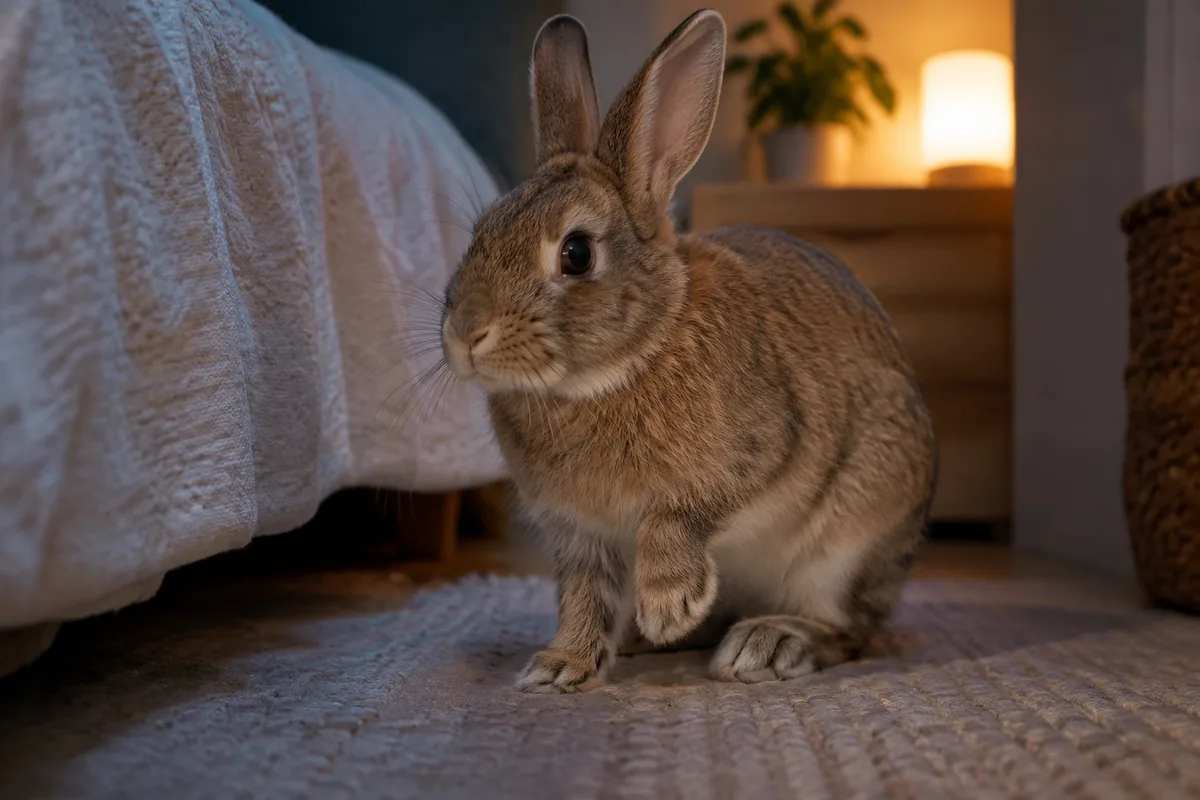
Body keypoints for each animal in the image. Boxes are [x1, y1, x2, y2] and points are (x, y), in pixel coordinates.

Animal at [439, 8, 937, 693]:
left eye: (576, 253)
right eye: (481, 231)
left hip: (847, 544)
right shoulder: (580, 535)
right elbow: (583, 596)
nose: (465, 333)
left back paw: (764, 643)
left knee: (847, 629)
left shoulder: (758, 449)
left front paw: (668, 603)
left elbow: (675, 517)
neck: (624, 362)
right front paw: (562, 667)